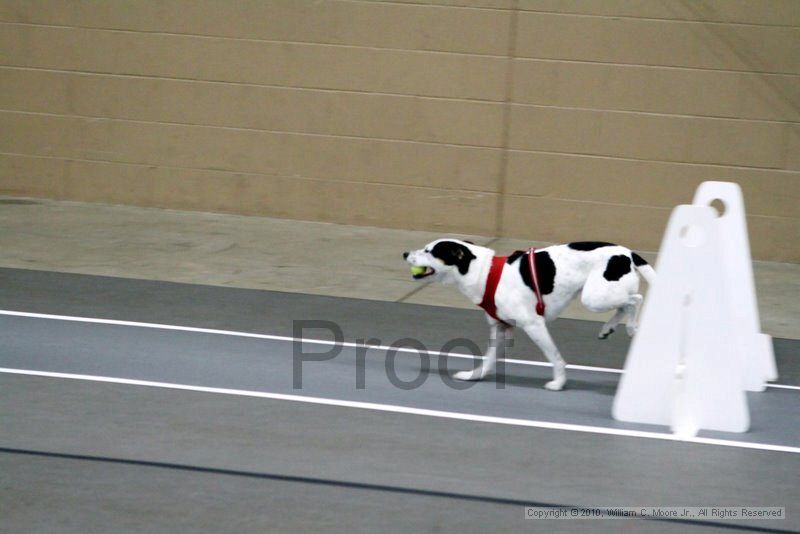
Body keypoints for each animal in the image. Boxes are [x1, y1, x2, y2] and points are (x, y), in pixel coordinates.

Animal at [404, 241, 652, 392]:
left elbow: (555, 357)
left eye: (429, 251)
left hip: (594, 298)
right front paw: (474, 375)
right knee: (625, 304)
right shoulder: (501, 329)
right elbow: (488, 360)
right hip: (601, 296)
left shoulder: (534, 325)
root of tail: (628, 254)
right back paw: (608, 328)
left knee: (635, 300)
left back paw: (631, 327)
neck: (483, 272)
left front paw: (559, 382)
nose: (405, 253)